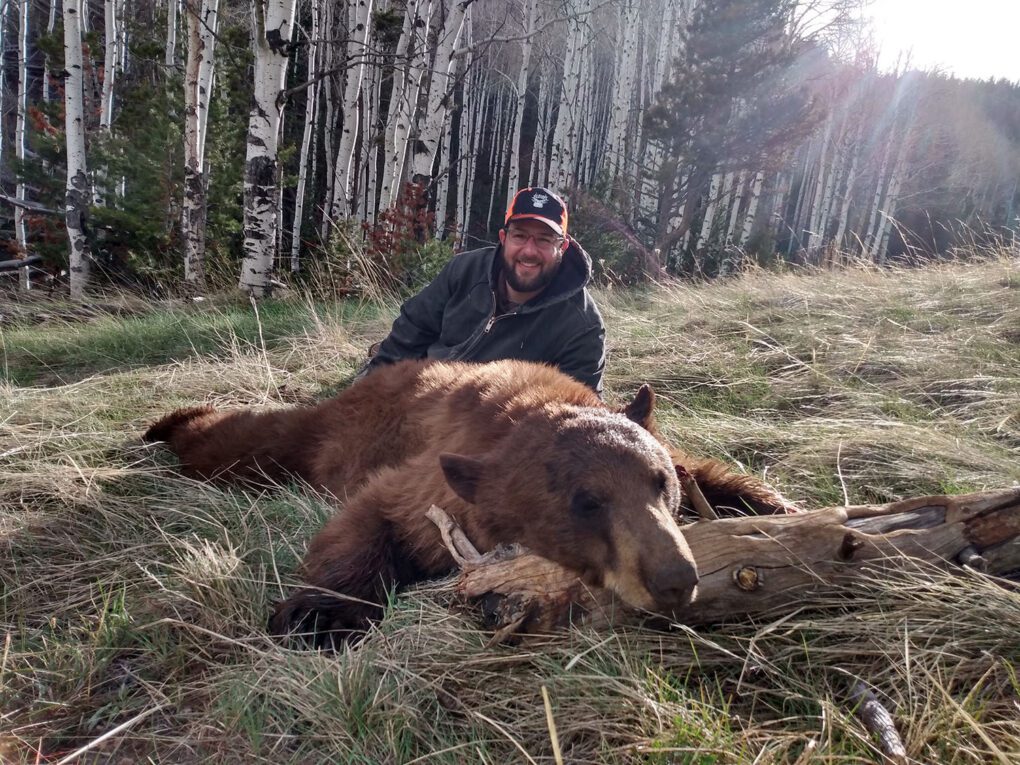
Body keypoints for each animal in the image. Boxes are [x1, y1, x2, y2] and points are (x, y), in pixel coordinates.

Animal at [145, 359, 795, 648]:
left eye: (658, 483)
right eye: (585, 503)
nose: (675, 578)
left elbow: (710, 472)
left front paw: (776, 508)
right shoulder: (428, 480)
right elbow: (372, 516)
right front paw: (317, 615)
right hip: (329, 433)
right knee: (253, 443)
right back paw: (166, 423)